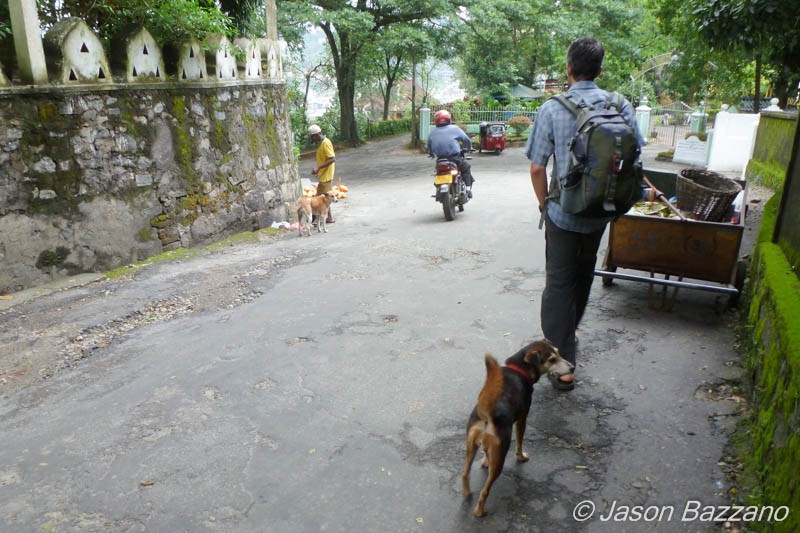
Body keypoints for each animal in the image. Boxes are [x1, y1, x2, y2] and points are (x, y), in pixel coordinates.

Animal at [462, 338, 576, 516]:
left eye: (558, 353)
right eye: (552, 360)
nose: (572, 367)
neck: (518, 368)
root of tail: (487, 415)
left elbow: (486, 455)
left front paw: (485, 462)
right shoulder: (522, 419)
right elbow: (520, 443)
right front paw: (521, 457)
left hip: (470, 447)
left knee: (464, 474)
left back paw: (467, 493)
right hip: (500, 456)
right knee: (485, 490)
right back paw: (480, 511)